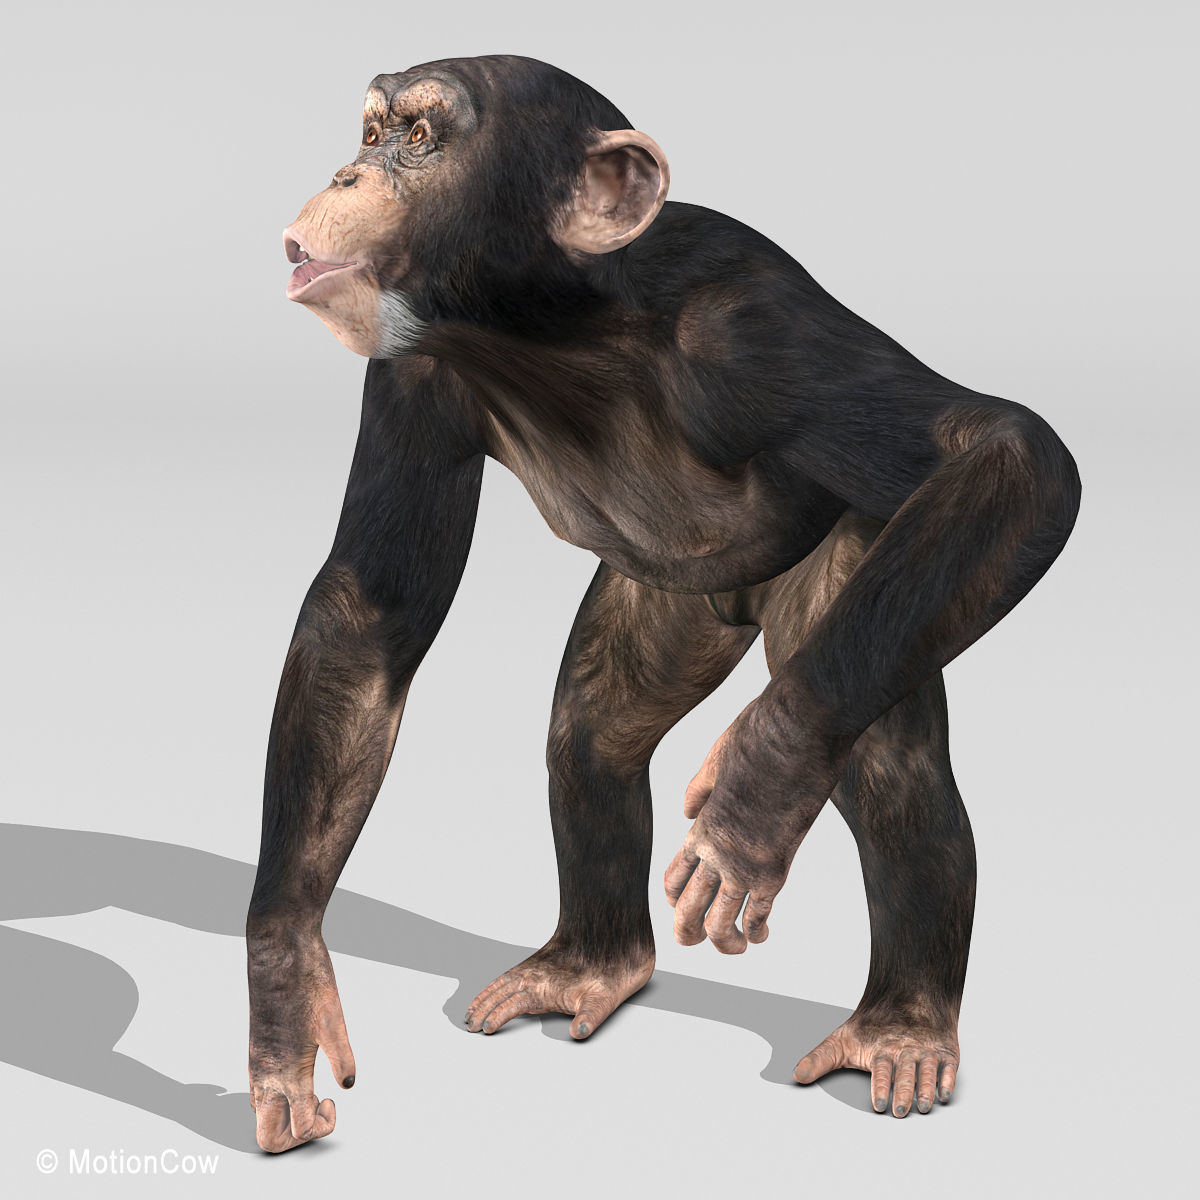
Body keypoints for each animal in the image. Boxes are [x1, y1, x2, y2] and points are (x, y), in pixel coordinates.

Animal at [246, 54, 1080, 1152]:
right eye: (371, 130)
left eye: (419, 139)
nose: (346, 173)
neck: (550, 324)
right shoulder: (408, 370)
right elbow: (366, 620)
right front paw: (284, 985)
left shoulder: (758, 339)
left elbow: (1008, 451)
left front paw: (757, 788)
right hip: (667, 604)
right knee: (593, 729)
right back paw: (592, 964)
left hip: (864, 571)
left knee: (892, 771)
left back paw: (900, 1026)